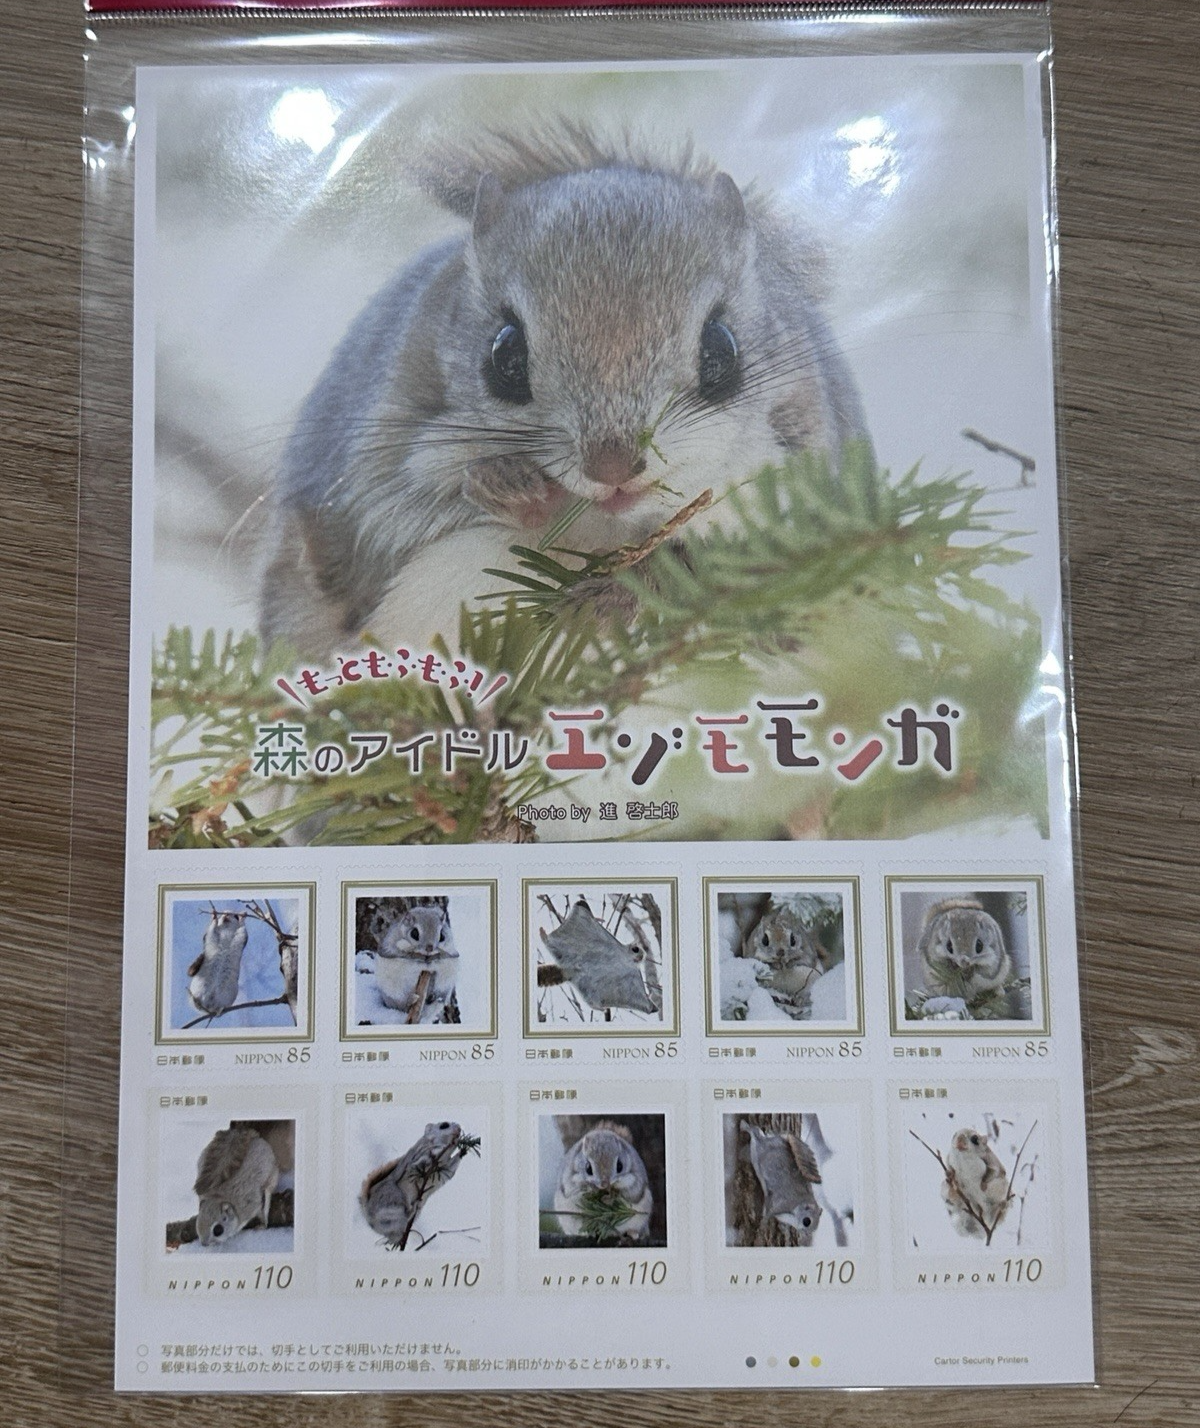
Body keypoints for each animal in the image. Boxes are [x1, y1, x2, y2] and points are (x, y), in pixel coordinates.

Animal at [261, 123, 870, 656]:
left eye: (722, 350)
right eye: (504, 354)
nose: (612, 468)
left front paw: (621, 591)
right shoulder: (371, 470)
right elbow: (404, 511)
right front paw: (517, 492)